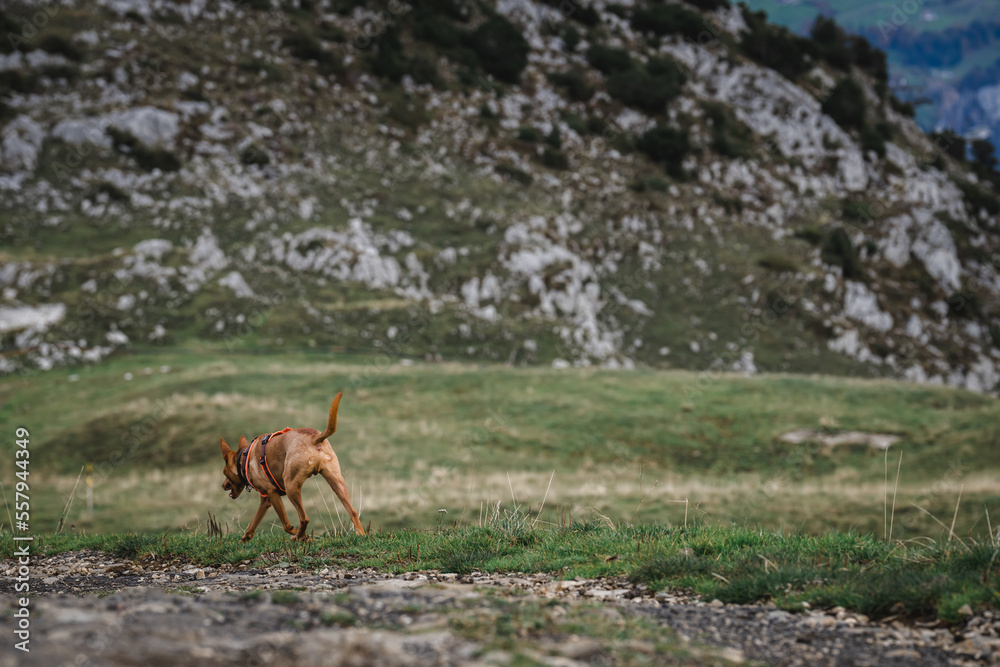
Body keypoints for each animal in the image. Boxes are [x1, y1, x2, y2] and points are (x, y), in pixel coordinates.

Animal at [217, 392, 366, 544]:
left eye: (224, 472)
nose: (223, 485)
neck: (245, 459)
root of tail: (315, 438)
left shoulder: (272, 492)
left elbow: (286, 525)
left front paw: (299, 535)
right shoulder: (265, 500)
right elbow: (252, 525)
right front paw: (244, 539)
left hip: (291, 486)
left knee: (304, 518)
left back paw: (299, 537)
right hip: (336, 483)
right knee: (353, 511)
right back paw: (360, 534)